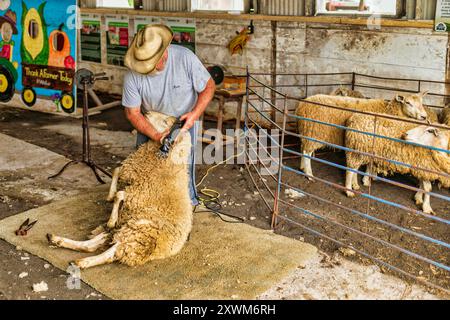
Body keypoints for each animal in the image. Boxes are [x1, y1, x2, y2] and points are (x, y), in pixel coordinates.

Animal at [47, 112, 193, 268]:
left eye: (166, 122)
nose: (146, 113)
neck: (168, 158)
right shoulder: (132, 176)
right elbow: (116, 171)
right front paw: (110, 196)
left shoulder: (138, 194)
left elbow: (120, 193)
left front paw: (112, 217)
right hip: (124, 229)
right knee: (92, 245)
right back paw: (57, 240)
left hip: (137, 233)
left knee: (110, 253)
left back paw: (82, 261)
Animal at [296, 92, 428, 180]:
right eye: (408, 103)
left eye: (421, 103)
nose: (424, 116)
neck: (389, 111)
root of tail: (301, 105)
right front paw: (368, 178)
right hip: (314, 133)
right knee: (307, 152)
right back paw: (309, 174)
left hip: (306, 131)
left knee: (302, 148)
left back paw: (302, 167)